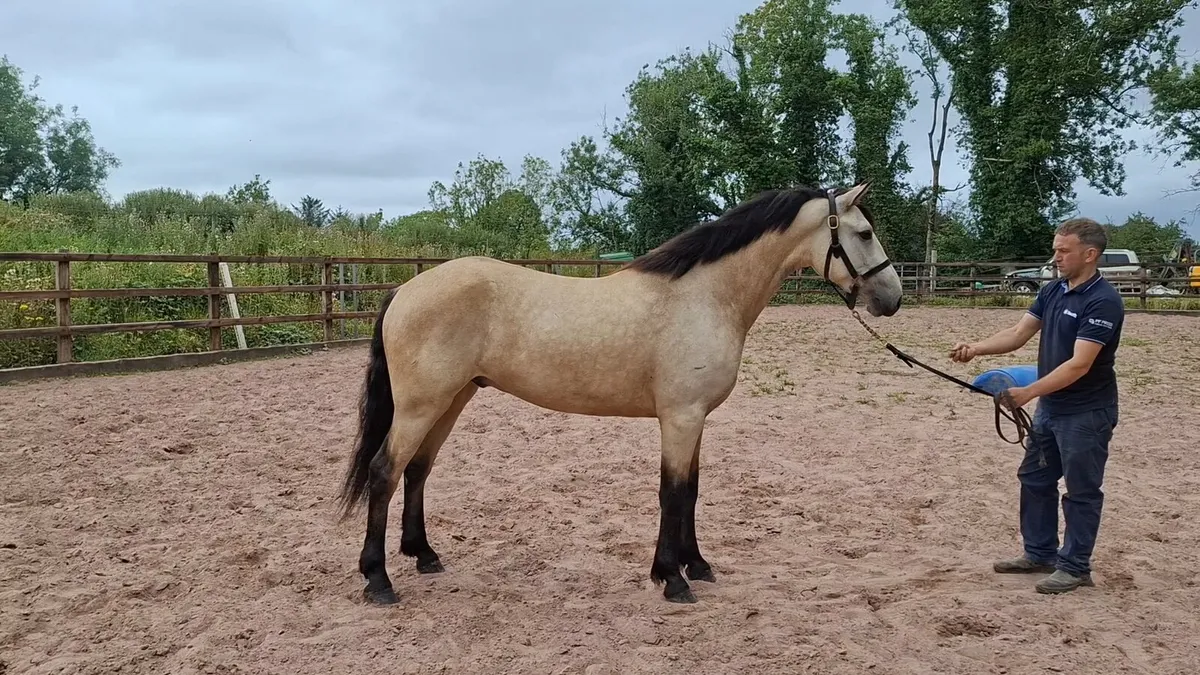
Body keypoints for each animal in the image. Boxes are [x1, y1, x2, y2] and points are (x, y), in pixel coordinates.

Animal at [335, 182, 903, 605]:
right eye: (865, 232)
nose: (892, 298)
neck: (704, 296)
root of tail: (405, 289)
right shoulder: (681, 417)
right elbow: (672, 492)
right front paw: (671, 578)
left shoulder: (695, 419)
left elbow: (692, 491)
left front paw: (696, 565)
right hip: (422, 405)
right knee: (384, 472)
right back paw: (378, 580)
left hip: (451, 401)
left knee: (417, 471)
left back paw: (424, 555)